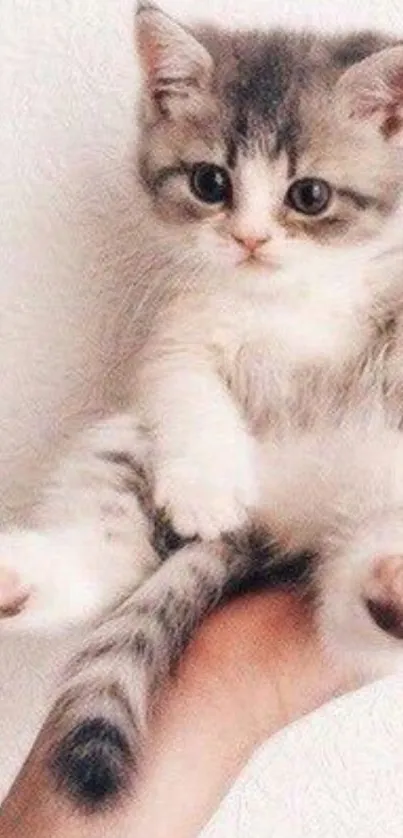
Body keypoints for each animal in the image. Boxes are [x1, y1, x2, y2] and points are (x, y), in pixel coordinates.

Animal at [2, 0, 403, 812]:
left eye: (309, 195)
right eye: (209, 181)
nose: (248, 239)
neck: (278, 302)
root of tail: (286, 517)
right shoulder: (175, 337)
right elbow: (186, 391)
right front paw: (207, 487)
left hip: (366, 502)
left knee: (352, 593)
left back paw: (387, 583)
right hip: (123, 443)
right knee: (112, 555)